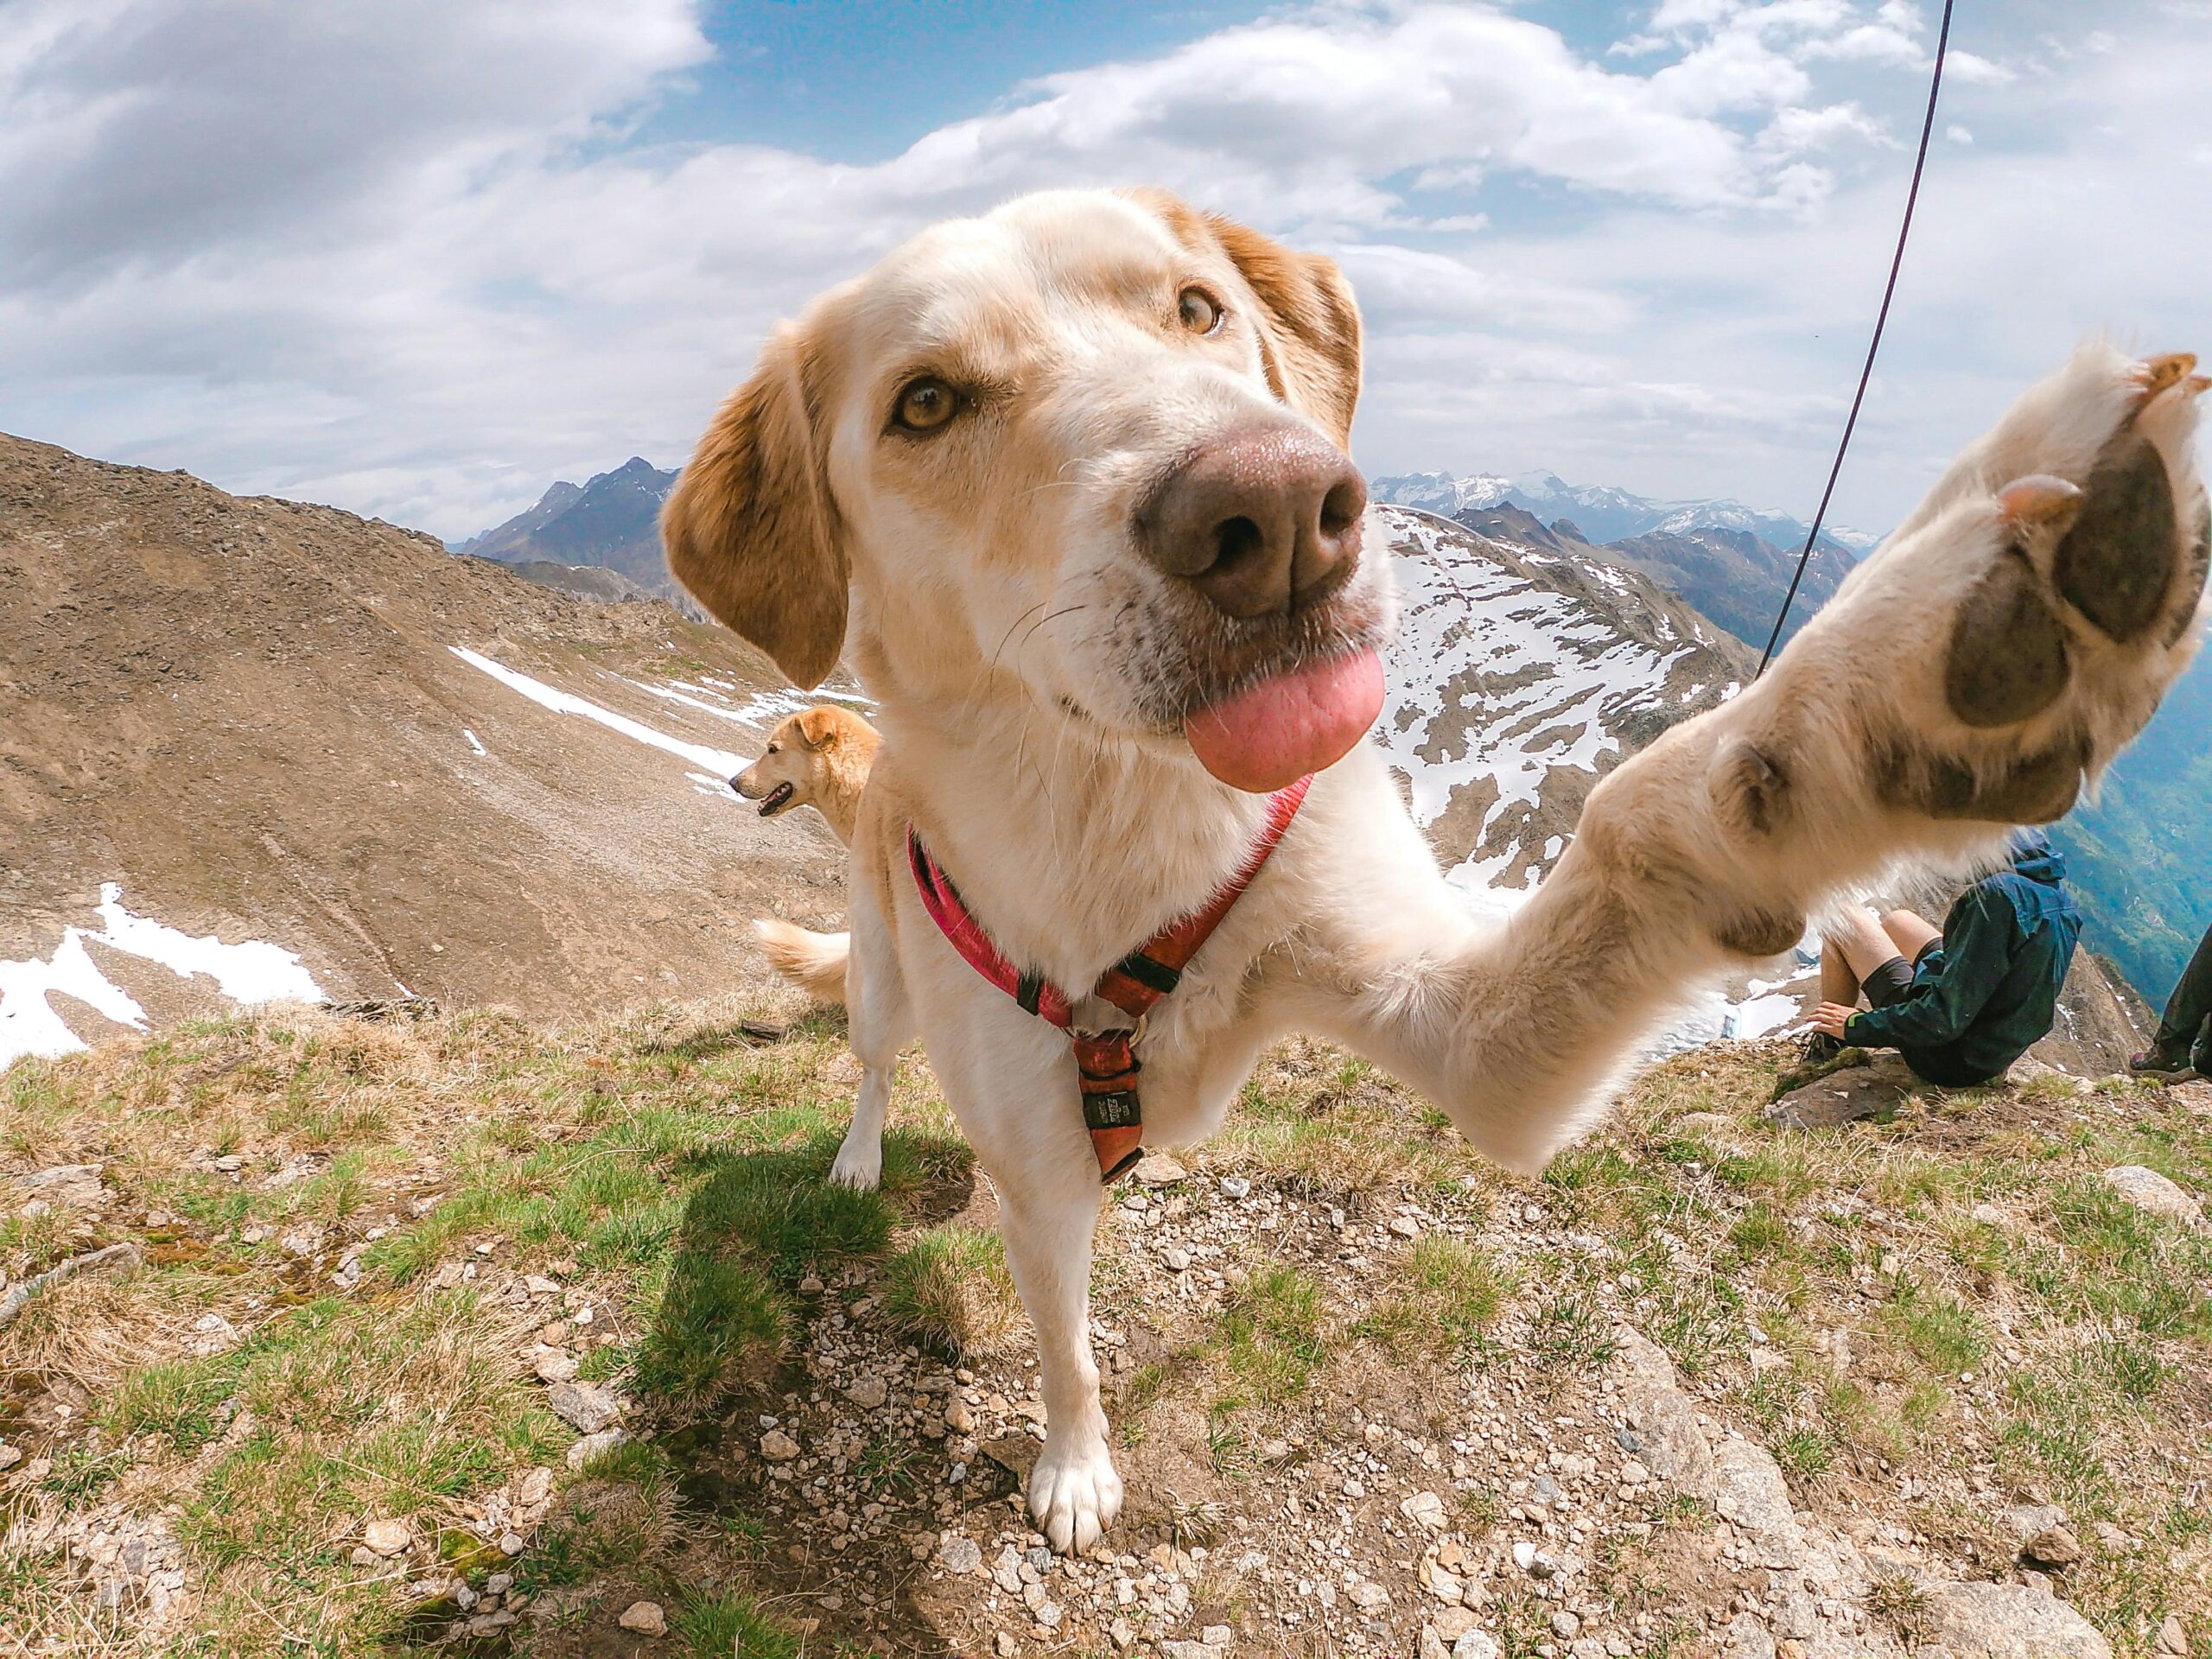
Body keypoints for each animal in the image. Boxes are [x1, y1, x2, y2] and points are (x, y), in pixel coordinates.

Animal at [658, 188, 2212, 1557]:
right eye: (926, 404)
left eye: (1196, 309)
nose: (1277, 513)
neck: (1135, 819)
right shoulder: (1038, 1182)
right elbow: (1069, 1349)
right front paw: (1077, 1470)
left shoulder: (1465, 1031)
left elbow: (1645, 818)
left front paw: (1905, 670)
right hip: (883, 970)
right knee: (870, 1059)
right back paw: (861, 1156)